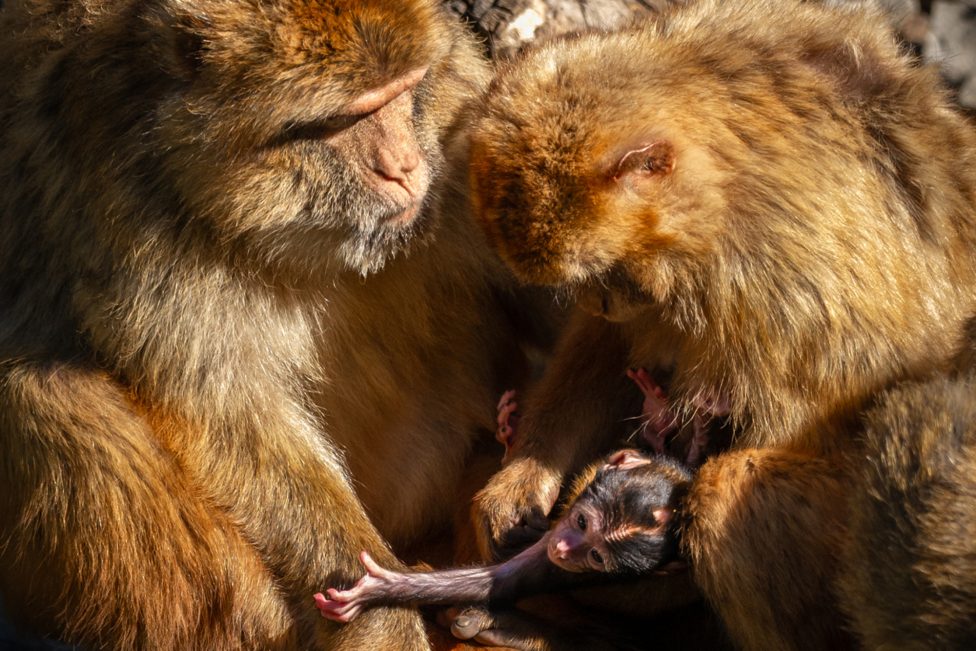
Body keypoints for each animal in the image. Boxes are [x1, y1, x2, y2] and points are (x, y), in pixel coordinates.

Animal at [0, 1, 536, 649]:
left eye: (404, 92)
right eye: (346, 118)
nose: (405, 167)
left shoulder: (468, 126)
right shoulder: (131, 214)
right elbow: (230, 414)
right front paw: (381, 616)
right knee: (43, 393)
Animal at [456, 0, 976, 647]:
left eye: (606, 272)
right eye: (591, 281)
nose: (603, 300)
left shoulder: (786, 279)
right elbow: (615, 344)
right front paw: (525, 477)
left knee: (726, 490)